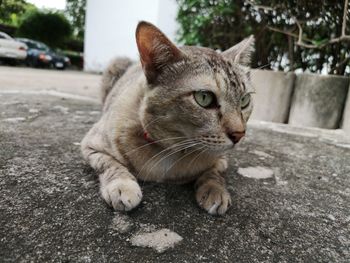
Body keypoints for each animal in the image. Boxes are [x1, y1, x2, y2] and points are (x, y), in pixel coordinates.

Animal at [81, 20, 254, 214]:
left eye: (245, 100)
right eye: (204, 97)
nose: (240, 134)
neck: (170, 151)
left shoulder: (222, 158)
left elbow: (214, 172)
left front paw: (215, 189)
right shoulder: (91, 146)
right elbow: (110, 164)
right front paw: (122, 186)